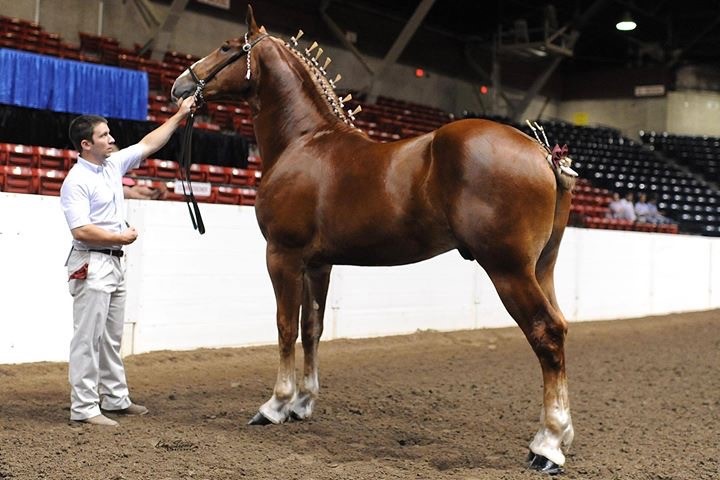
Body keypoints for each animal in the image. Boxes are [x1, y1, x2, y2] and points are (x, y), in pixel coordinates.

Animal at [172, 8, 576, 476]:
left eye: (225, 47)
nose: (180, 86)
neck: (302, 142)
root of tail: (543, 154)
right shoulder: (317, 264)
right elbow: (312, 328)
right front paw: (303, 403)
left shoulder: (282, 256)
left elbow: (285, 326)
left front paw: (275, 405)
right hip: (541, 268)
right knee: (560, 328)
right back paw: (558, 436)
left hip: (508, 270)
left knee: (546, 333)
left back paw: (547, 445)